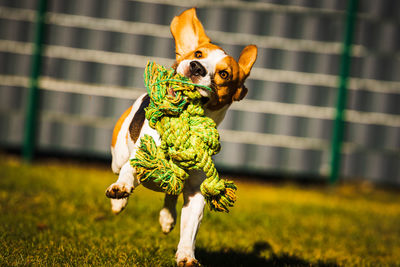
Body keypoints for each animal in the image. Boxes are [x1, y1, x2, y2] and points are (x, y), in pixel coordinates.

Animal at [105, 7, 256, 266]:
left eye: (224, 74)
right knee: (121, 167)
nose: (196, 67)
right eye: (198, 53)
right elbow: (128, 172)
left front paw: (186, 255)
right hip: (119, 153)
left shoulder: (196, 194)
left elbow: (189, 229)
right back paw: (119, 201)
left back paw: (167, 217)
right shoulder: (140, 158)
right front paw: (121, 190)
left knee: (171, 192)